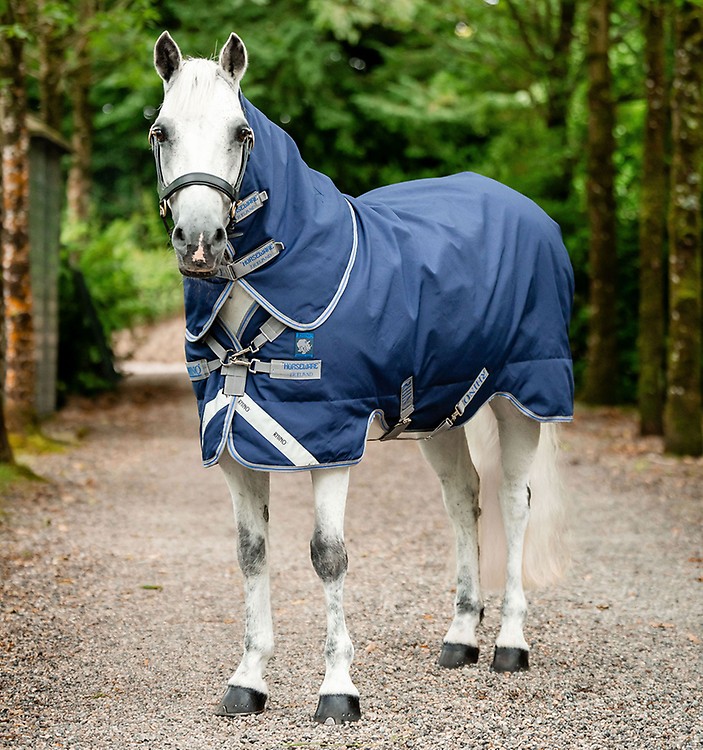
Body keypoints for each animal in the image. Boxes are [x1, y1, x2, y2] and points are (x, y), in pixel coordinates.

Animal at [150, 31, 574, 725]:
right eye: (162, 131)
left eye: (241, 132)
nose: (200, 241)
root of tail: (531, 212)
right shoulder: (234, 444)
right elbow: (250, 553)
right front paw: (248, 680)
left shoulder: (328, 442)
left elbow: (328, 556)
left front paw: (337, 690)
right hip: (439, 412)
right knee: (464, 500)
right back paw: (461, 638)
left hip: (523, 399)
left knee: (515, 503)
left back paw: (511, 643)